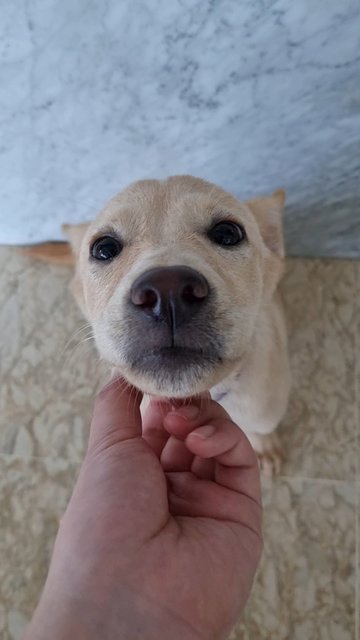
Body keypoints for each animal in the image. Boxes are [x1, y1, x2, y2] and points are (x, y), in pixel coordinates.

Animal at [25, 176, 290, 476]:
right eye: (103, 248)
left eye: (227, 233)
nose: (168, 291)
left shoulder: (265, 406)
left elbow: (261, 428)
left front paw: (265, 447)